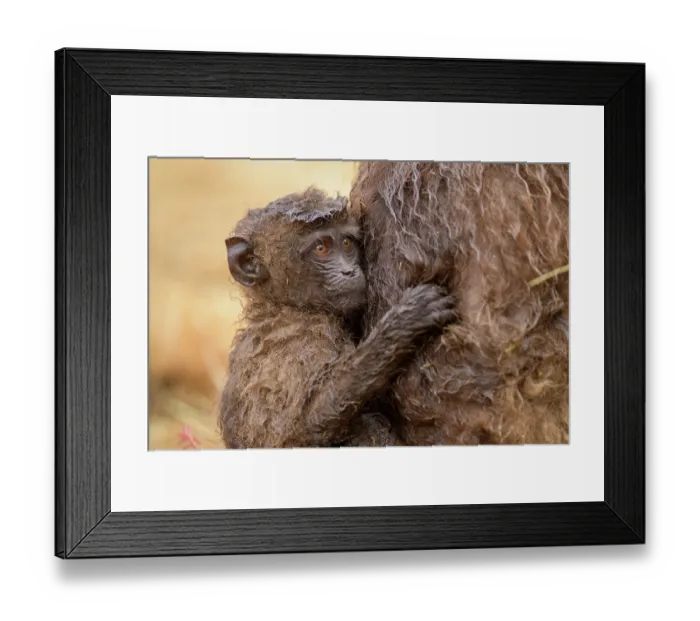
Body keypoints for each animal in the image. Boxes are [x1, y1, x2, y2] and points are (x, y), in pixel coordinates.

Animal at [218, 188, 456, 449]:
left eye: (346, 243)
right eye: (321, 248)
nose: (349, 272)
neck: (282, 305)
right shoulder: (304, 338)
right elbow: (304, 426)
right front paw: (400, 325)